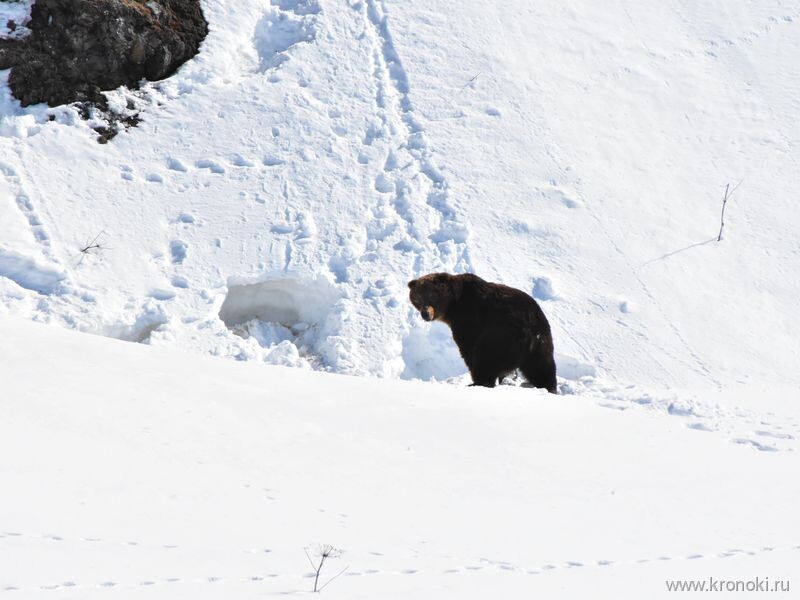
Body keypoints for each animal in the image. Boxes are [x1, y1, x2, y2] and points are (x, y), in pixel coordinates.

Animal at [406, 274, 556, 394]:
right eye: (417, 298)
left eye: (432, 296)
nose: (426, 314)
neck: (453, 305)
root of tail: (531, 326)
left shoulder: (469, 317)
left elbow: (468, 345)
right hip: (542, 341)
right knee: (542, 367)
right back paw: (549, 388)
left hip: (502, 334)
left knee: (485, 356)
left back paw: (477, 382)